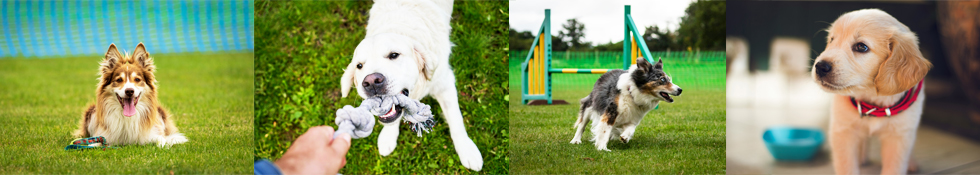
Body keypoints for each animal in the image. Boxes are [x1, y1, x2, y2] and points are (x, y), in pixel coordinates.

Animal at [338, 0, 484, 172]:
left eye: (394, 55)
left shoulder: (444, 83)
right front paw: (388, 136)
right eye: (359, 66)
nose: (371, 82)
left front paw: (467, 150)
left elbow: (456, 119)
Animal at [812, 8, 936, 174]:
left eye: (861, 47)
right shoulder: (843, 131)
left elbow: (894, 167)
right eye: (832, 40)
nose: (820, 67)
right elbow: (846, 166)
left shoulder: (899, 136)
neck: (873, 102)